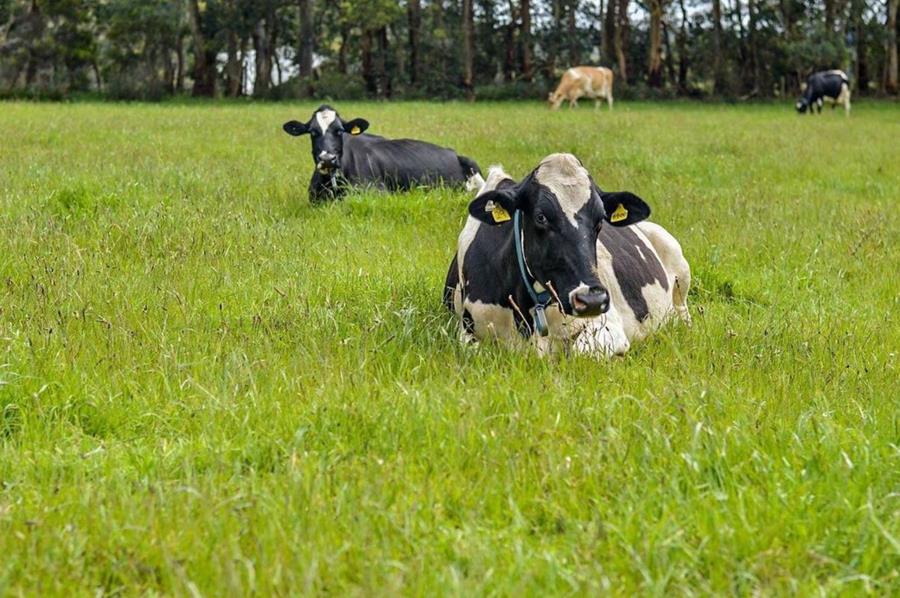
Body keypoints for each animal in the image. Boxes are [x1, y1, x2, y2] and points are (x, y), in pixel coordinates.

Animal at [443, 154, 690, 358]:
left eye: (600, 220)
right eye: (541, 217)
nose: (592, 300)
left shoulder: (608, 324)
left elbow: (580, 352)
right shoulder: (466, 332)